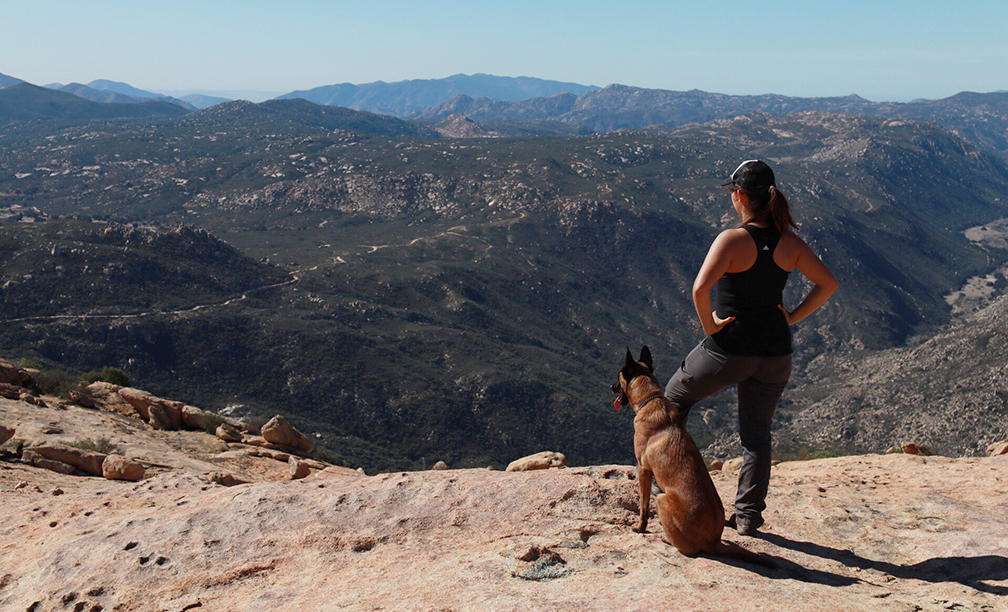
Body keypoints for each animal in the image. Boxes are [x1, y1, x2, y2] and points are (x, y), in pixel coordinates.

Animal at [612, 346, 770, 568]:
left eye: (618, 378)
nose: (611, 386)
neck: (651, 398)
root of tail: (714, 542)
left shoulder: (643, 470)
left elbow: (643, 506)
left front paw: (640, 527)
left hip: (662, 499)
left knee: (688, 549)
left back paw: (667, 539)